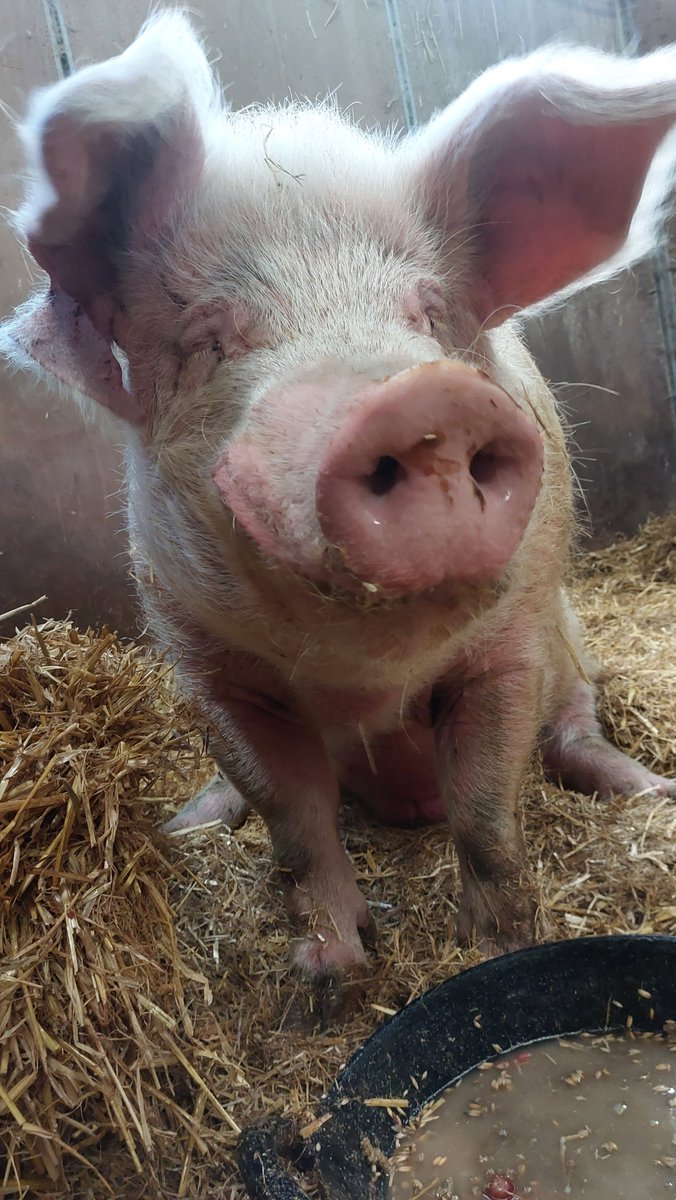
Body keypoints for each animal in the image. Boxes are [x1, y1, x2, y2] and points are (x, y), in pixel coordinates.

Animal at [2, 13, 675, 1023]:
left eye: (429, 314)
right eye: (210, 340)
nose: (419, 398)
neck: (366, 677)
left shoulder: (511, 643)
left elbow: (485, 804)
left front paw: (502, 942)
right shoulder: (209, 669)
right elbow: (294, 820)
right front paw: (329, 976)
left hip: (575, 643)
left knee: (575, 733)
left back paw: (649, 791)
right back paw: (187, 826)